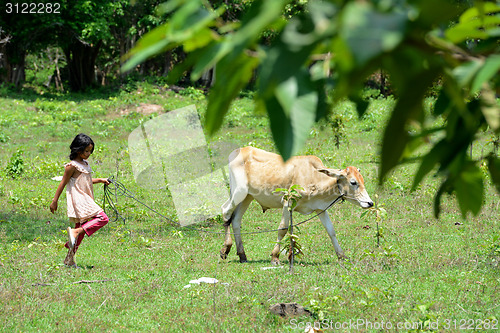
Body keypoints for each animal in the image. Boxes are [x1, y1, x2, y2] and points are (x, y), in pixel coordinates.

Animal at [221, 147, 374, 264]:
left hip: (248, 197)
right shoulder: (287, 202)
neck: (315, 177)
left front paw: (342, 256)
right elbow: (282, 229)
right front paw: (275, 257)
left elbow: (331, 231)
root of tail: (238, 150)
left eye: (362, 181)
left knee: (236, 220)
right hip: (238, 192)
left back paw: (242, 255)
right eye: (353, 182)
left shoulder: (320, 209)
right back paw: (225, 249)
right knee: (226, 212)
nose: (370, 203)